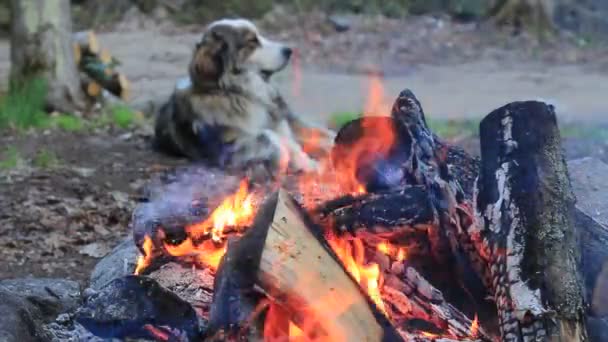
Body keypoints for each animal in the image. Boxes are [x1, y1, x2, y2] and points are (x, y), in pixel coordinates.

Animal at [152, 18, 332, 179]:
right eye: (252, 41)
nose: (289, 50)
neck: (243, 94)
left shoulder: (282, 122)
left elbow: (301, 137)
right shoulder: (228, 147)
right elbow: (270, 136)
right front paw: (299, 161)